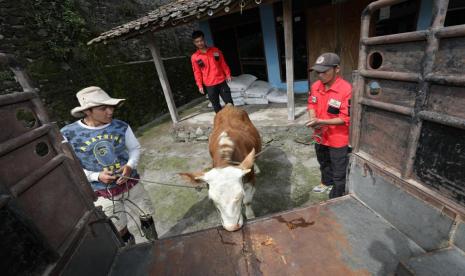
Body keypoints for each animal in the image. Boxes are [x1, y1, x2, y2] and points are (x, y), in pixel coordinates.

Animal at [180, 103, 260, 231]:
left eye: (240, 195)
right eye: (213, 200)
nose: (232, 227)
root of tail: (228, 106)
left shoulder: (250, 178)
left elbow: (247, 201)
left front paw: (251, 216)